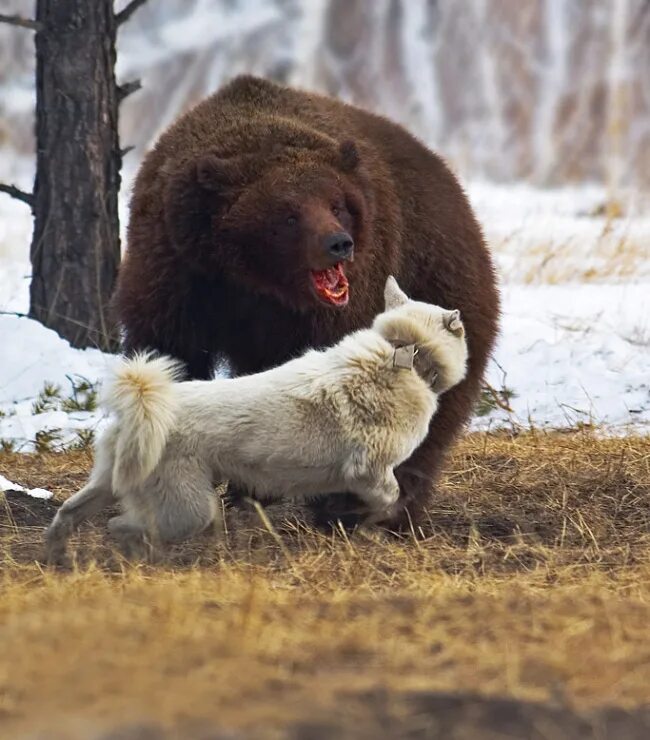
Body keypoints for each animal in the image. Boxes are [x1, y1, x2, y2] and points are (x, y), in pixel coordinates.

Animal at [44, 276, 466, 560]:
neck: (404, 354)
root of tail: (143, 406)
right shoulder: (371, 471)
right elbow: (388, 500)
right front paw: (369, 527)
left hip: (110, 482)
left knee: (71, 511)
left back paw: (57, 554)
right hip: (188, 511)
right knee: (123, 525)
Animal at [112, 73, 496, 528]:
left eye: (337, 204)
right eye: (289, 215)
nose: (338, 243)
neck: (255, 281)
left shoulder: (342, 304)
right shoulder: (178, 274)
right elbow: (169, 350)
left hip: (438, 275)